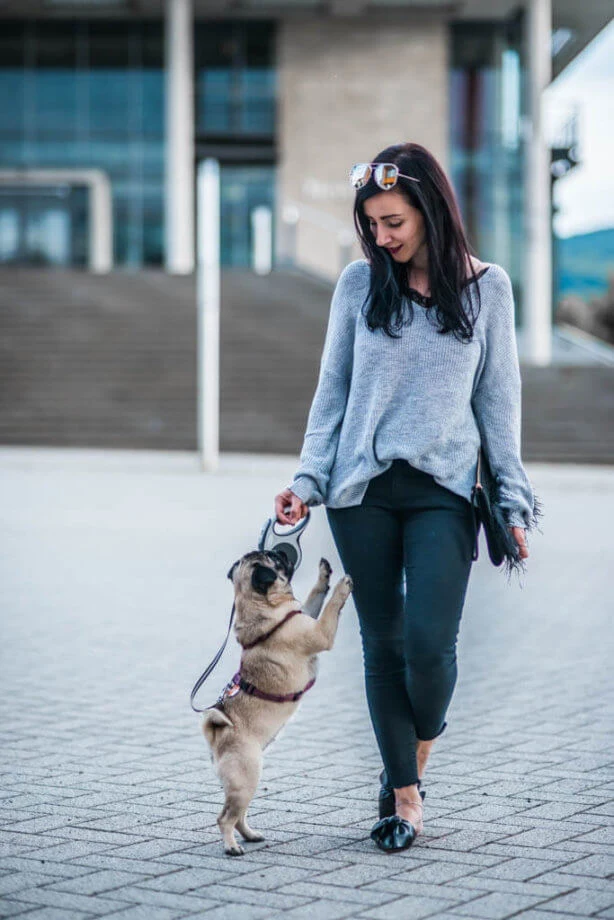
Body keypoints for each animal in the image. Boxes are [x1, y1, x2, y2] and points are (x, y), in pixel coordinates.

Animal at [202, 548, 354, 856]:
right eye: (274, 560)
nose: (278, 550)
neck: (263, 610)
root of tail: (217, 736)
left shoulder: (307, 614)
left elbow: (315, 597)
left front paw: (324, 575)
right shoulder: (320, 631)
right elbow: (331, 607)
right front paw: (341, 587)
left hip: (246, 784)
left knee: (239, 816)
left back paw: (250, 835)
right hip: (245, 778)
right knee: (225, 818)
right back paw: (231, 847)